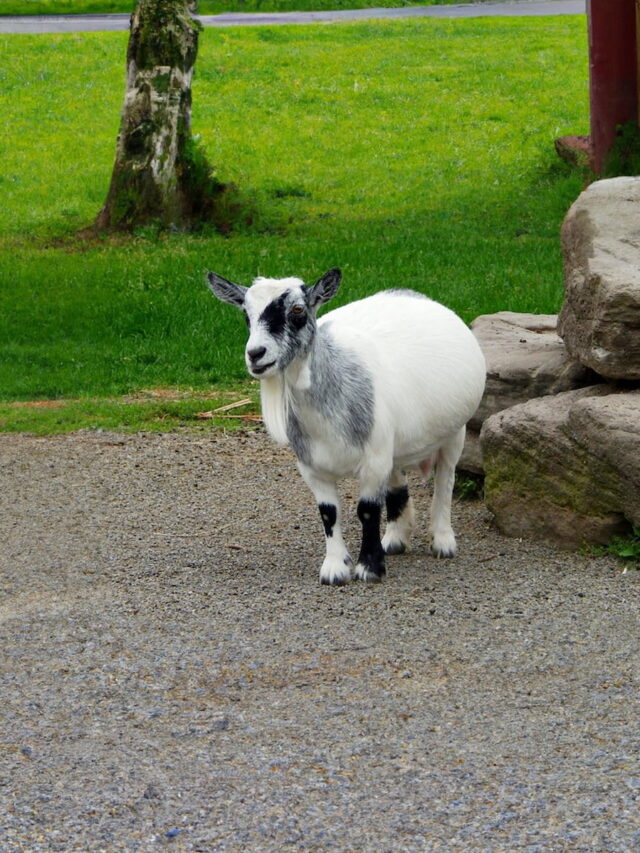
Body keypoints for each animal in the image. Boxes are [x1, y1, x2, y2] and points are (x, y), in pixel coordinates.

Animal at [207, 268, 486, 585]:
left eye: (298, 311)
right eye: (246, 313)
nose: (256, 354)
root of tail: (412, 294)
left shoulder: (373, 460)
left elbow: (367, 511)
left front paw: (370, 568)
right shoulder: (313, 466)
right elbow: (329, 513)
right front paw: (335, 568)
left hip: (455, 432)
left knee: (445, 480)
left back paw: (442, 540)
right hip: (392, 444)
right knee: (397, 480)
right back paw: (395, 537)